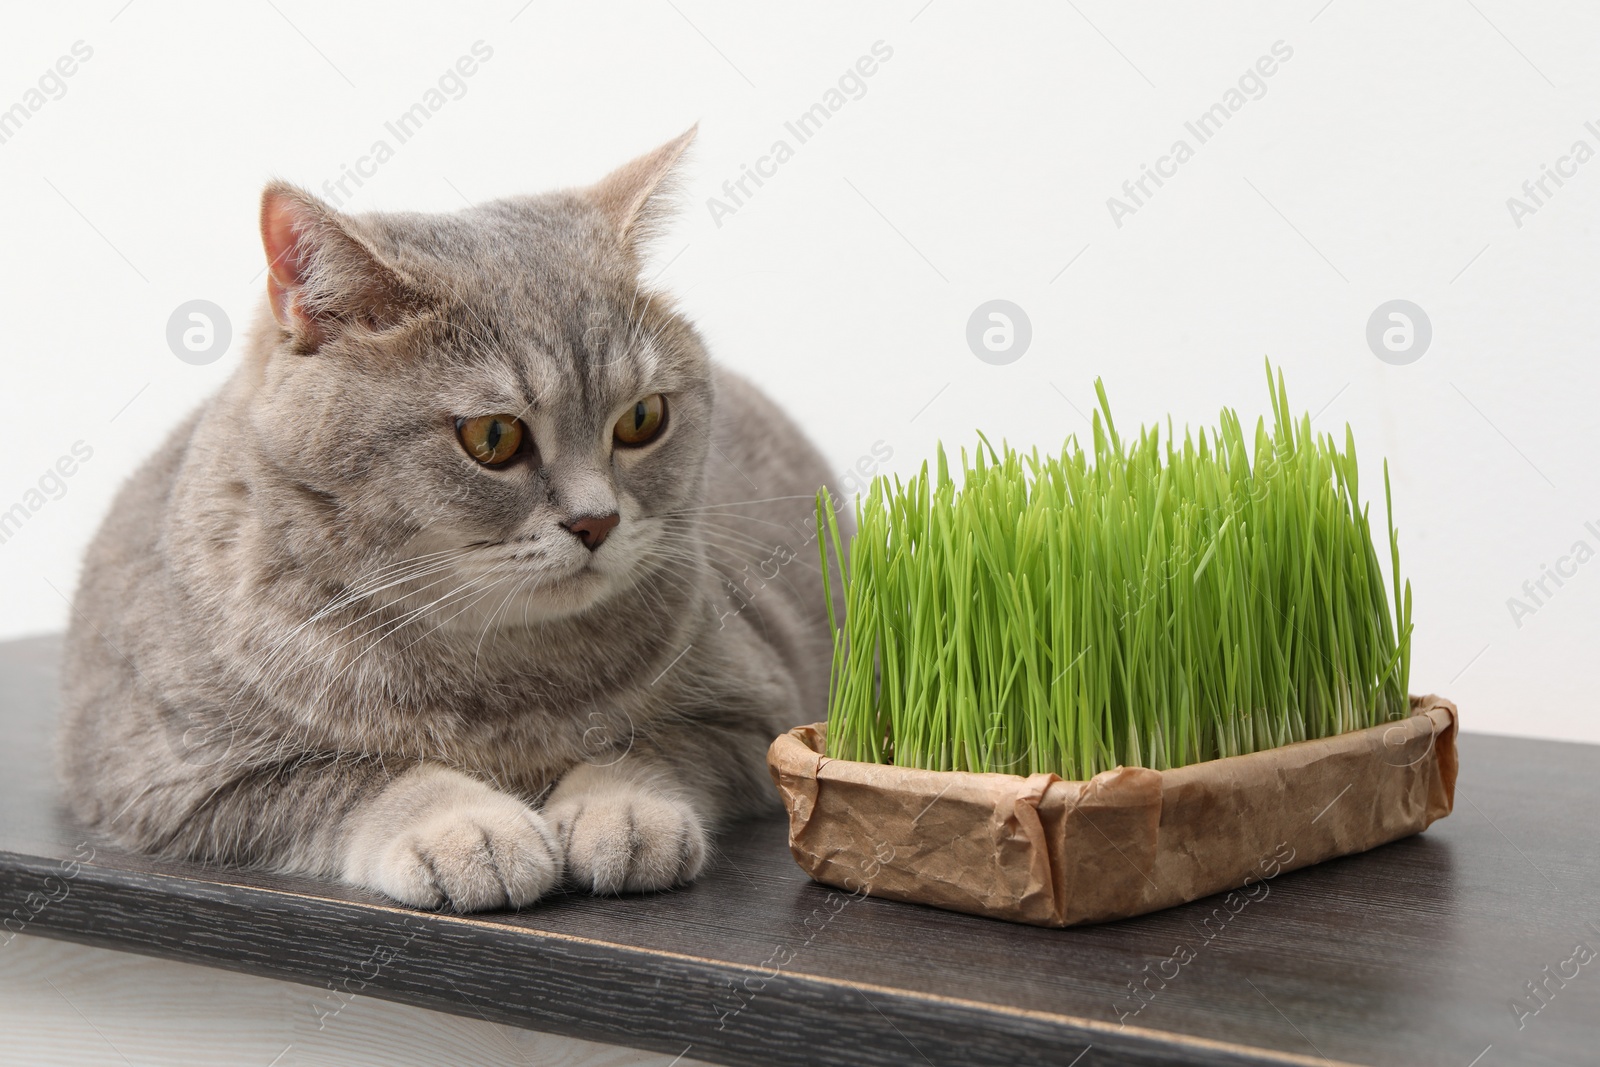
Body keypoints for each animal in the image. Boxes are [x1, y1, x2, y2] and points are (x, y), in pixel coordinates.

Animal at [56, 125, 844, 908]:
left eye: (643, 419)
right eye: (493, 437)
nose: (597, 521)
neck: (500, 668)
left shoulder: (753, 711)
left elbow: (649, 744)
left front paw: (620, 809)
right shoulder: (172, 776)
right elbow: (359, 774)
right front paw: (470, 830)